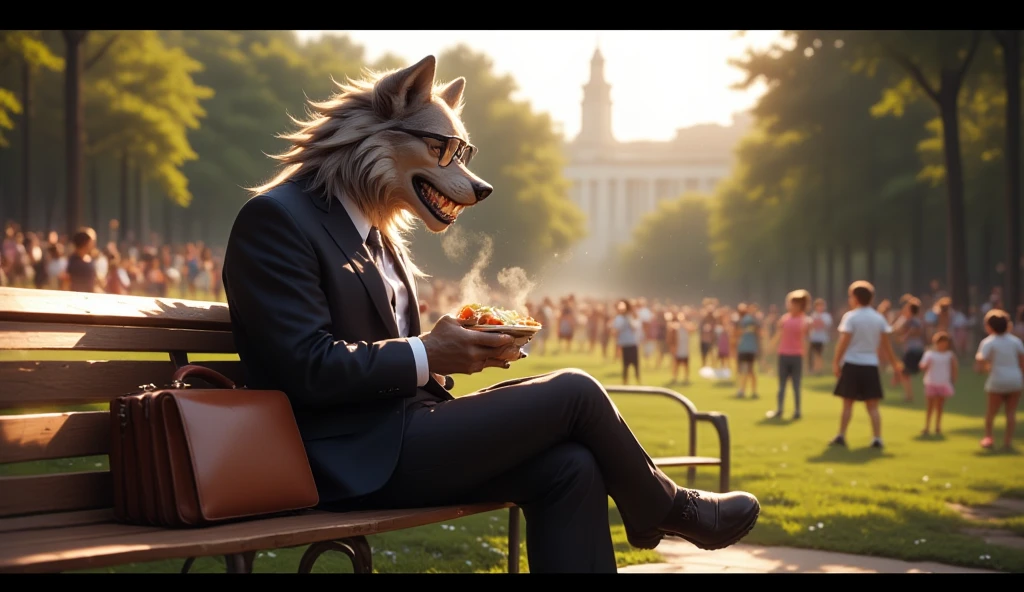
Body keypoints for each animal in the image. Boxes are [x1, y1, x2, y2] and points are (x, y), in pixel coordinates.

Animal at [220, 55, 757, 573]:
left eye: (466, 151)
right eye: (445, 149)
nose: (486, 190)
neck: (354, 203)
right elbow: (321, 355)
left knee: (573, 442)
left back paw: (709, 513)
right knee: (572, 390)